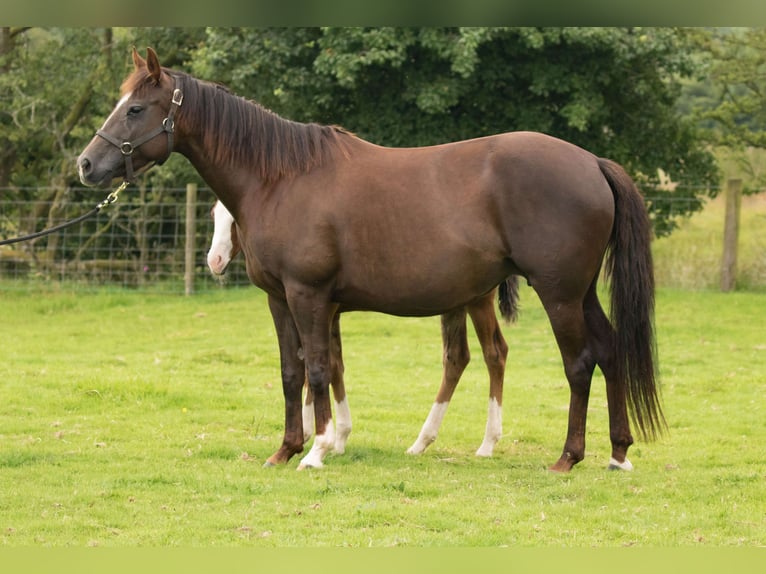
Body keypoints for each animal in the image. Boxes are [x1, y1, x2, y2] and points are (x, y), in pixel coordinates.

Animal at [207, 198, 519, 459]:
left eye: (233, 221)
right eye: (213, 215)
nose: (214, 261)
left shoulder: (321, 308)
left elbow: (323, 365)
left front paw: (329, 437)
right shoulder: (330, 313)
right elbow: (325, 363)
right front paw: (325, 435)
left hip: (478, 302)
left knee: (495, 353)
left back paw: (487, 443)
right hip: (456, 303)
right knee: (456, 357)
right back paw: (421, 442)